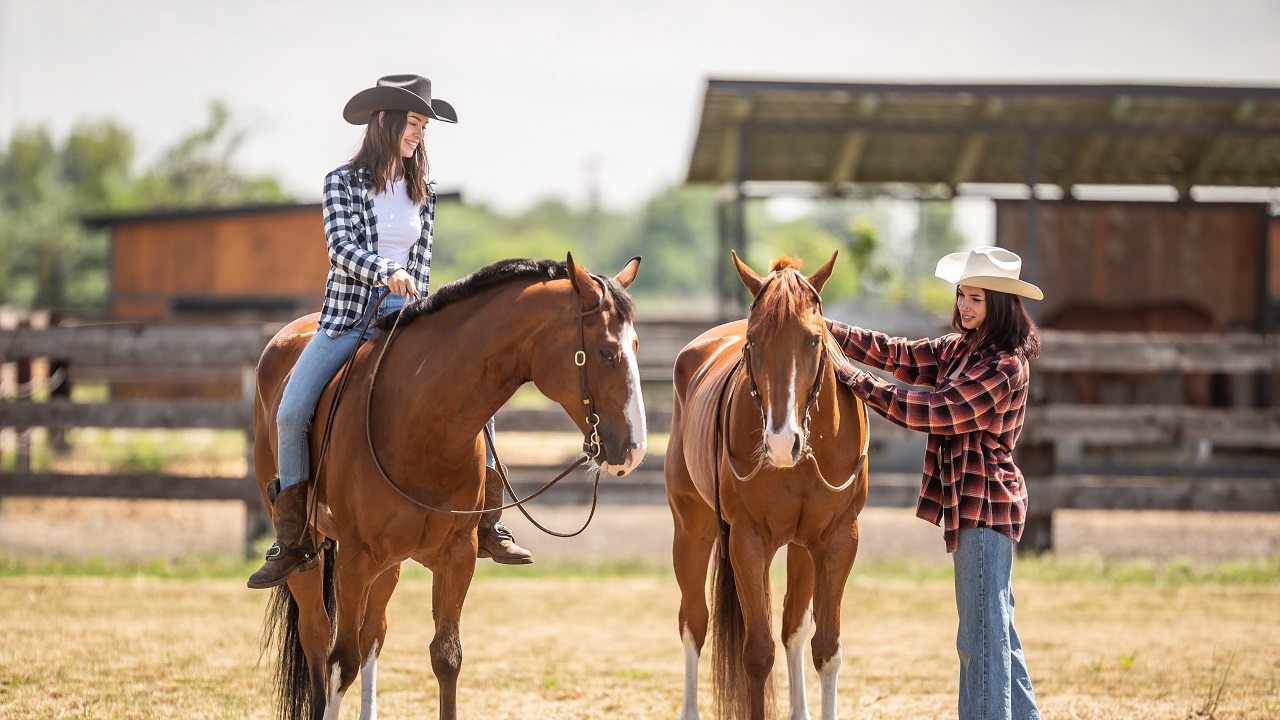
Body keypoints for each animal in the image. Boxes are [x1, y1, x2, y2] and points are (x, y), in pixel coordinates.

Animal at [253, 253, 645, 717]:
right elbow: (340, 664)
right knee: (317, 636)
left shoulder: (458, 555)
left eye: (635, 348)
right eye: (605, 352)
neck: (419, 419)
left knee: (373, 633)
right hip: (312, 554)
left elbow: (446, 656)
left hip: (388, 565)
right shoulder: (353, 560)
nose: (634, 449)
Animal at [670, 249, 870, 712]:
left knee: (793, 627)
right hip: (692, 527)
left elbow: (825, 649)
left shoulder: (837, 540)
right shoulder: (747, 539)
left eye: (813, 340)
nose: (781, 443)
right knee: (694, 623)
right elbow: (758, 654)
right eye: (754, 342)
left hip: (800, 545)